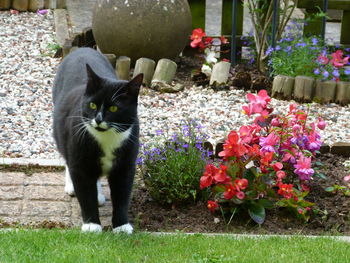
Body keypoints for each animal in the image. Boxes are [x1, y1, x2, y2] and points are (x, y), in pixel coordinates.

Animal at [52, 48, 142, 235]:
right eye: (92, 105)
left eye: (114, 108)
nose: (98, 119)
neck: (106, 139)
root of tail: (82, 48)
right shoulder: (79, 161)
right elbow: (85, 194)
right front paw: (91, 225)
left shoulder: (126, 164)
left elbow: (122, 195)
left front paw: (122, 226)